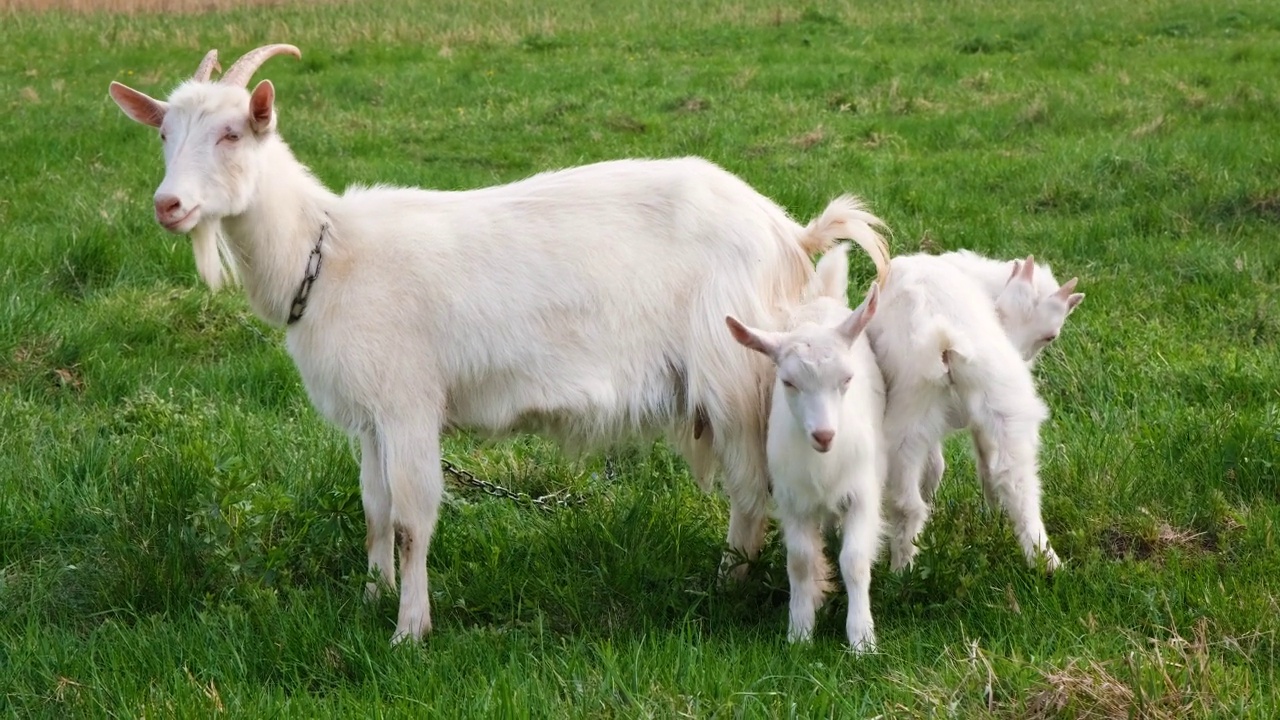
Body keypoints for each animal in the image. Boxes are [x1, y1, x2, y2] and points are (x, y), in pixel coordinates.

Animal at [727, 242, 885, 650]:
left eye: (847, 378)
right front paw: (799, 632)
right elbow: (799, 560)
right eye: (788, 382)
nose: (824, 435)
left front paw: (862, 639)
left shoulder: (863, 492)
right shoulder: (792, 498)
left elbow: (855, 560)